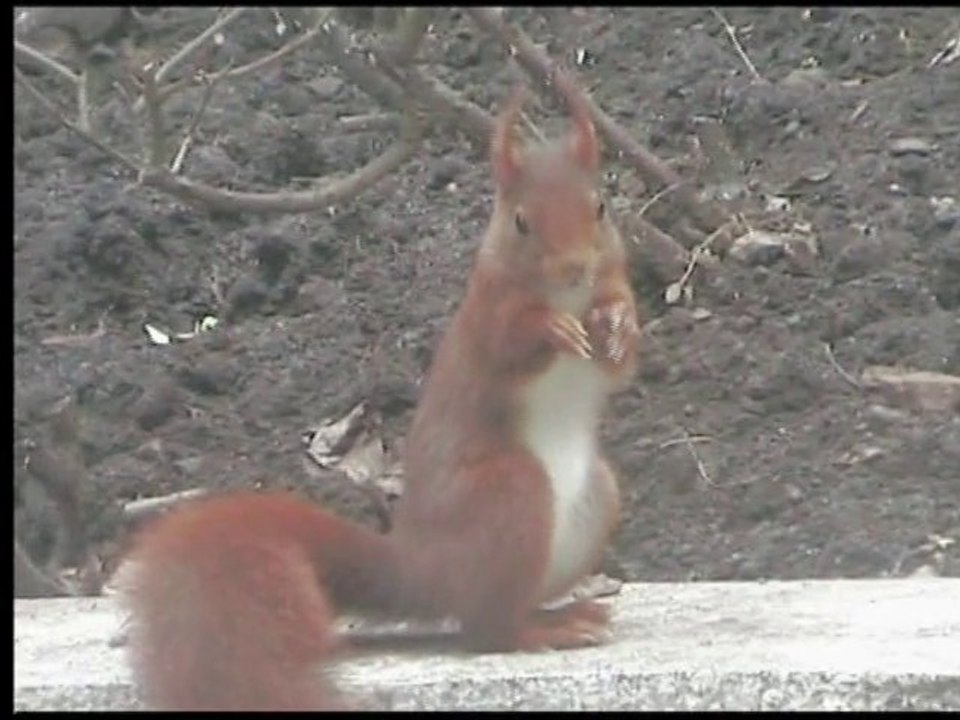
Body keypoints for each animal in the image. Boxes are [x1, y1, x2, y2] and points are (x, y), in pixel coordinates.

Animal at [118, 71, 641, 711]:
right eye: (521, 222)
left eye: (601, 206)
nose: (573, 268)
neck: (567, 295)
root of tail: (420, 569)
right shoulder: (486, 317)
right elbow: (511, 343)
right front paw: (551, 329)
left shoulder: (610, 282)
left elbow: (620, 358)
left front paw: (616, 327)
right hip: (509, 493)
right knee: (483, 630)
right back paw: (542, 630)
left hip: (596, 497)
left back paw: (566, 611)